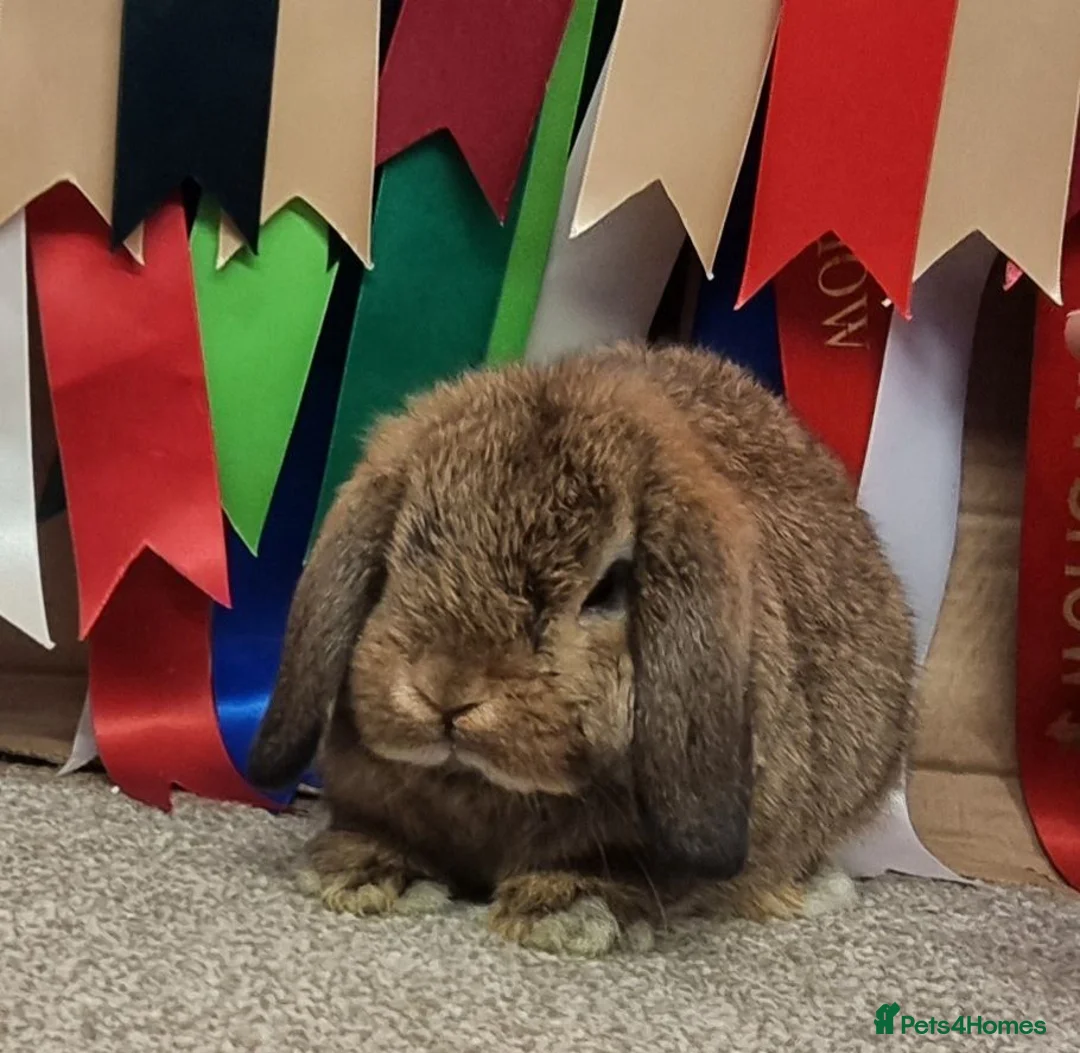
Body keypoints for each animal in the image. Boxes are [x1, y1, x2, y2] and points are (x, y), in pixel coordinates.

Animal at [248, 342, 916, 956]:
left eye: (608, 589)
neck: (486, 788)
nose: (447, 691)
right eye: (396, 559)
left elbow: (626, 872)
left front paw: (564, 913)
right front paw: (358, 874)